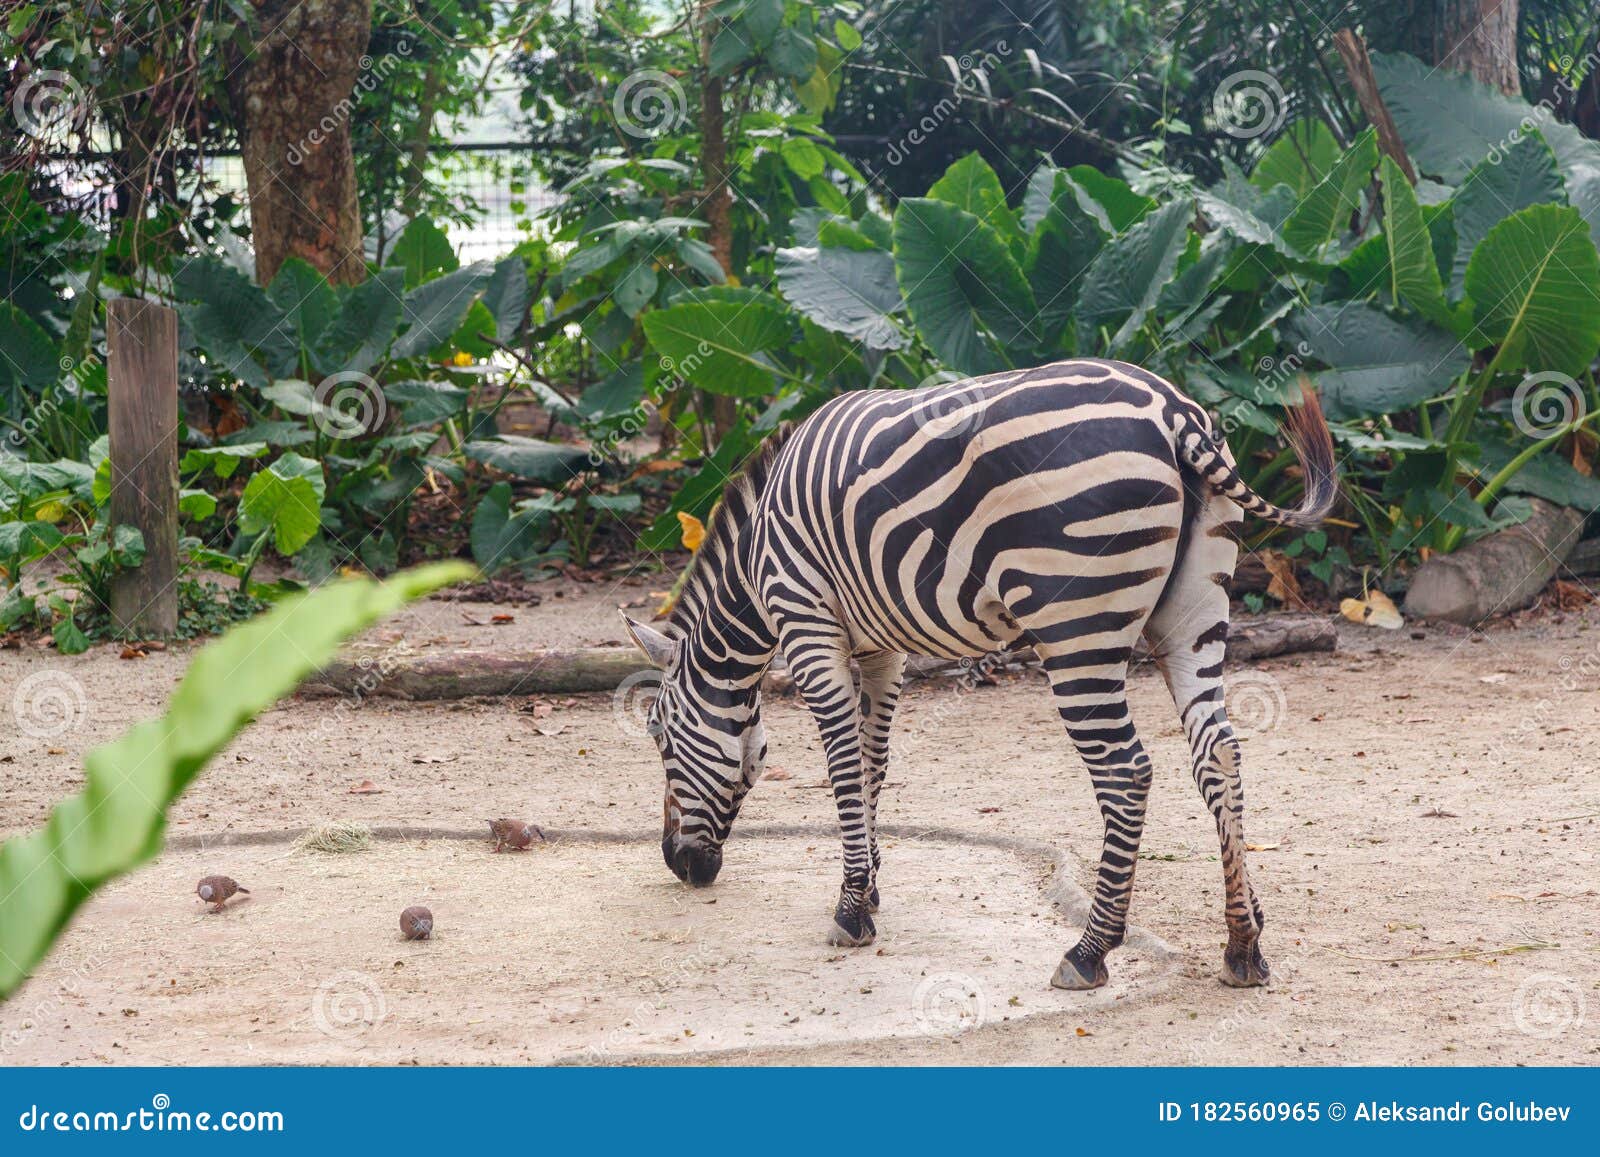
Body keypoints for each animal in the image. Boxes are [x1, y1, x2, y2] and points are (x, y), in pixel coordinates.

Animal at [622, 358, 1336, 990]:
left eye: (657, 735)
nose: (678, 865)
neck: (755, 562)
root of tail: (1172, 411)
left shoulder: (806, 623)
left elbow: (843, 763)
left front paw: (850, 910)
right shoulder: (883, 647)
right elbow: (874, 761)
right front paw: (870, 888)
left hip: (1077, 626)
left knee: (1126, 771)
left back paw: (1090, 950)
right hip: (1193, 615)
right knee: (1219, 754)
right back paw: (1243, 943)